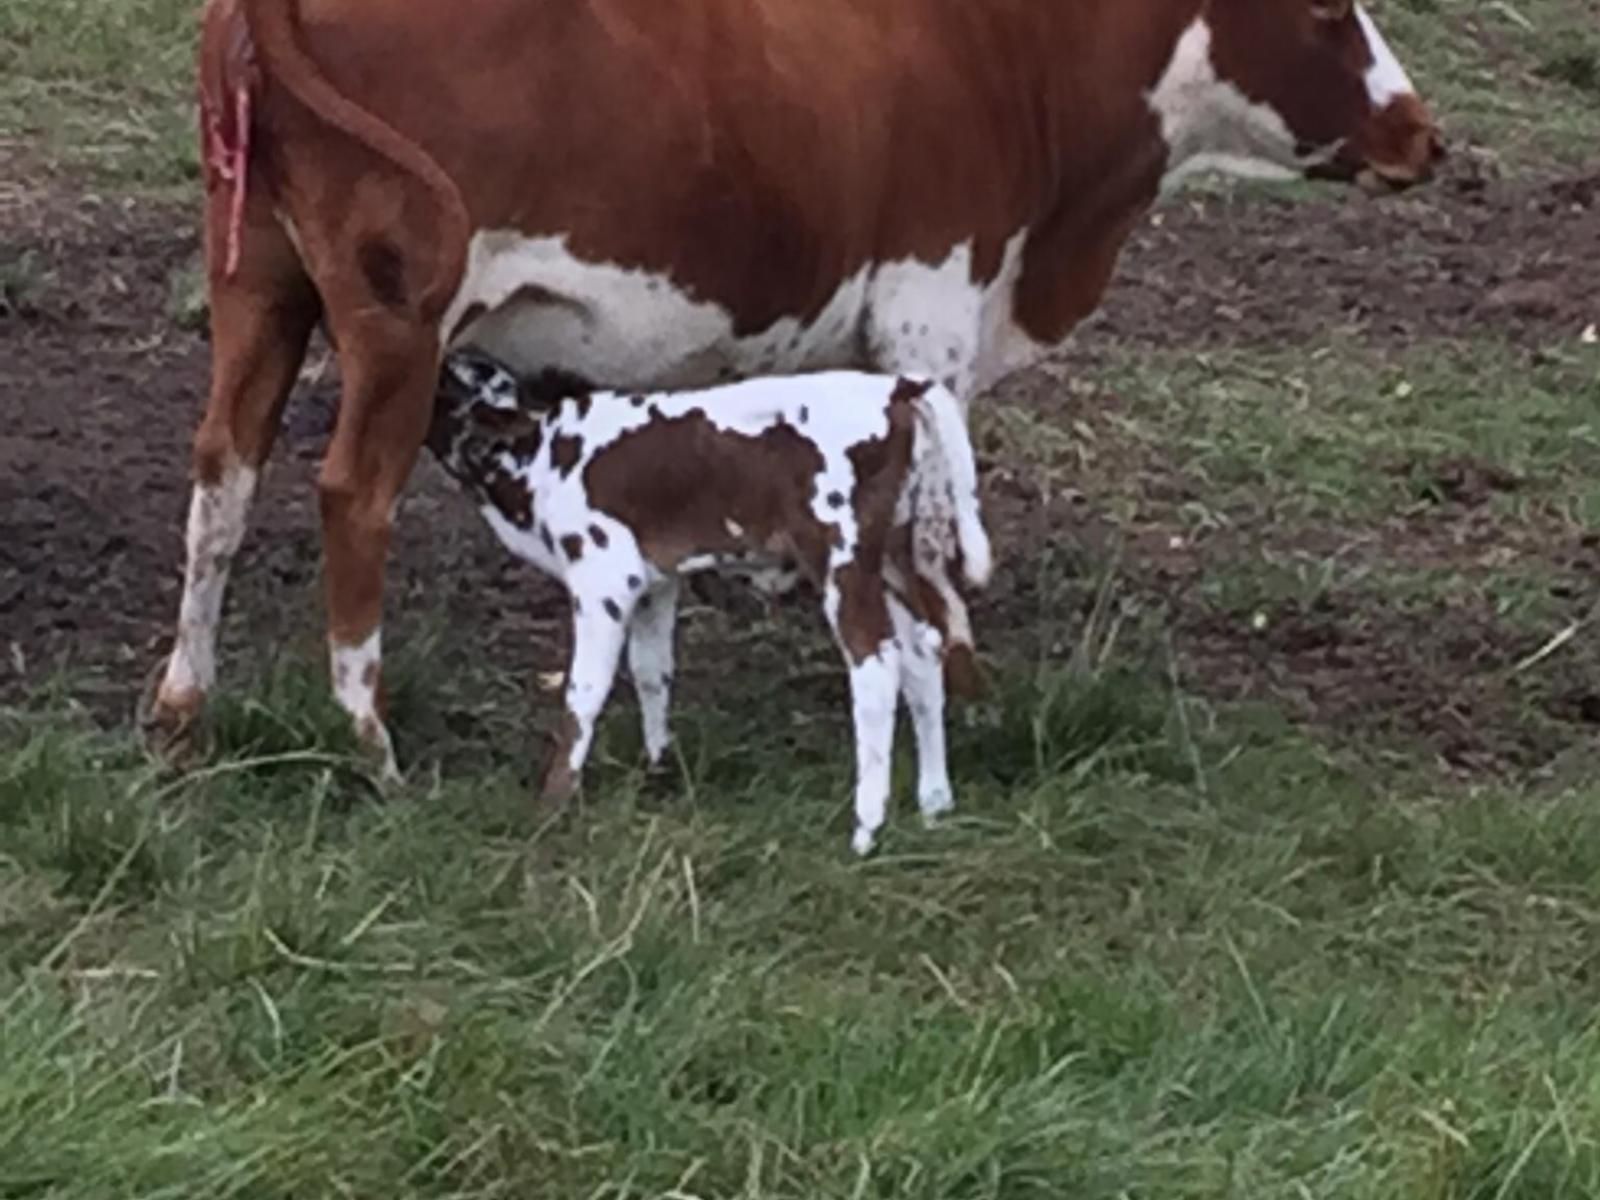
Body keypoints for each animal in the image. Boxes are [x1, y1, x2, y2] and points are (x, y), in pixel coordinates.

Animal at [150, 0, 1446, 771]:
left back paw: (183, 703)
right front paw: (961, 686)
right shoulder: (929, 317)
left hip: (258, 286)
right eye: (1326, 10)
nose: (1424, 133)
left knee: (222, 477)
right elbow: (933, 524)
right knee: (349, 497)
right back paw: (364, 729)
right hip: (398, 325)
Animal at [432, 352, 992, 857]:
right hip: (890, 557)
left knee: (876, 665)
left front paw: (553, 803)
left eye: (446, 385)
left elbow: (583, 692)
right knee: (922, 651)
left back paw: (866, 827)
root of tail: (899, 387)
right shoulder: (655, 582)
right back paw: (935, 803)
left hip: (841, 557)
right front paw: (659, 771)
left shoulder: (603, 577)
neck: (543, 454)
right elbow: (652, 670)